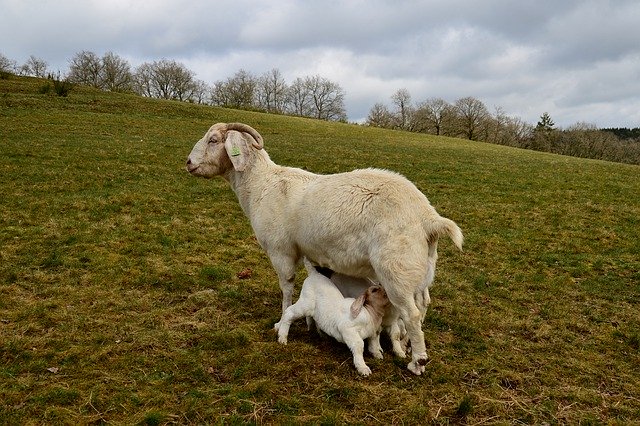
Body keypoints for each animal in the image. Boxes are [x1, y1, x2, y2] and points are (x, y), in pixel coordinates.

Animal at [188, 121, 462, 374]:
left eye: (213, 140)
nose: (189, 163)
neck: (261, 185)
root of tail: (429, 218)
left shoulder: (280, 249)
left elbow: (287, 287)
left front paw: (280, 323)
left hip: (397, 270)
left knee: (412, 314)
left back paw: (417, 362)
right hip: (419, 270)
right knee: (423, 305)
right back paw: (405, 344)